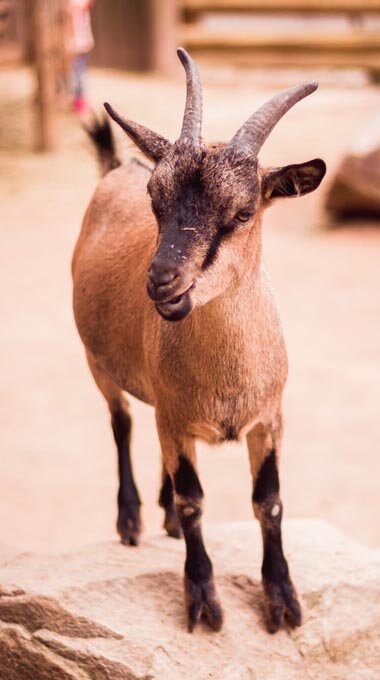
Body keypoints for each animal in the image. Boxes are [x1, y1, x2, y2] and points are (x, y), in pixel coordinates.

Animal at [72, 50, 326, 636]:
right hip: (98, 364)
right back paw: (131, 519)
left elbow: (268, 502)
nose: (163, 282)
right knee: (121, 423)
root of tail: (117, 167)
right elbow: (194, 502)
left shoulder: (269, 419)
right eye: (155, 202)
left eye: (243, 212)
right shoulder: (173, 416)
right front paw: (204, 601)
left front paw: (282, 601)